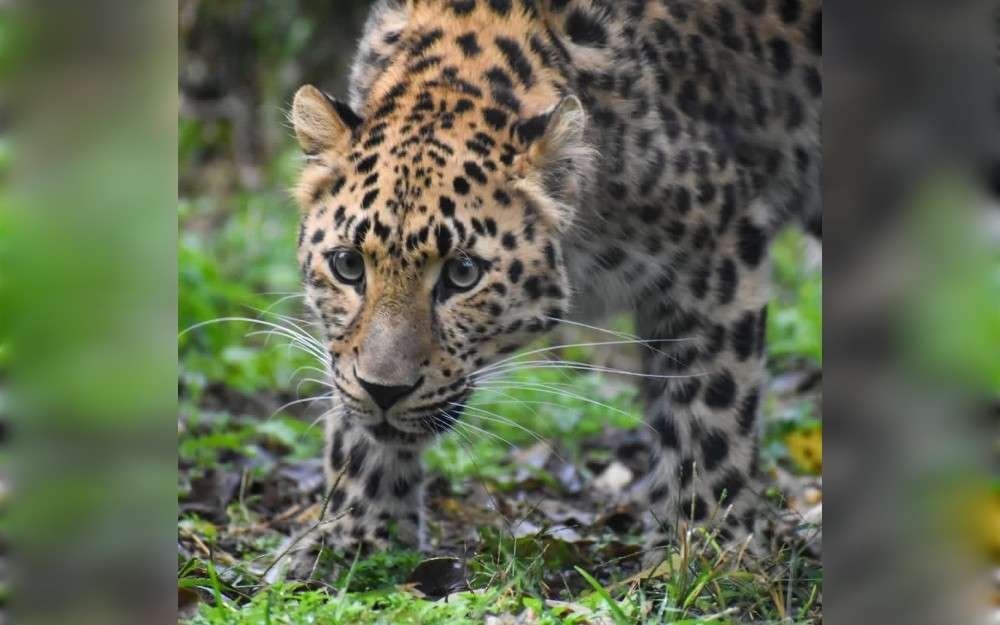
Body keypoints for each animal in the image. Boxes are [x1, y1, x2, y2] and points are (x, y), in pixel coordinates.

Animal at [285, 0, 820, 566]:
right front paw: (354, 536)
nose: (385, 391)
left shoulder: (719, 243)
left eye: (462, 273)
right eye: (348, 265)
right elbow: (353, 408)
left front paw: (703, 546)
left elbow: (709, 407)